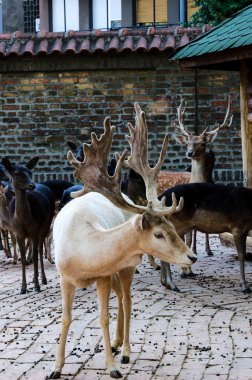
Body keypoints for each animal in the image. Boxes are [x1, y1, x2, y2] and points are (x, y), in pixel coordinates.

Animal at [47, 104, 197, 380]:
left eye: (172, 227)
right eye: (159, 234)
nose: (192, 256)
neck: (85, 253)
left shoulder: (103, 275)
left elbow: (103, 317)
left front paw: (112, 367)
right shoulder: (65, 276)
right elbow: (66, 318)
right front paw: (56, 368)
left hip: (126, 266)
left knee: (126, 300)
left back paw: (125, 350)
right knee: (120, 297)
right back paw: (117, 344)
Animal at [173, 94, 232, 258]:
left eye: (202, 144)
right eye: (187, 143)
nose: (189, 153)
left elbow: (204, 228)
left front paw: (208, 250)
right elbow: (193, 229)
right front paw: (193, 249)